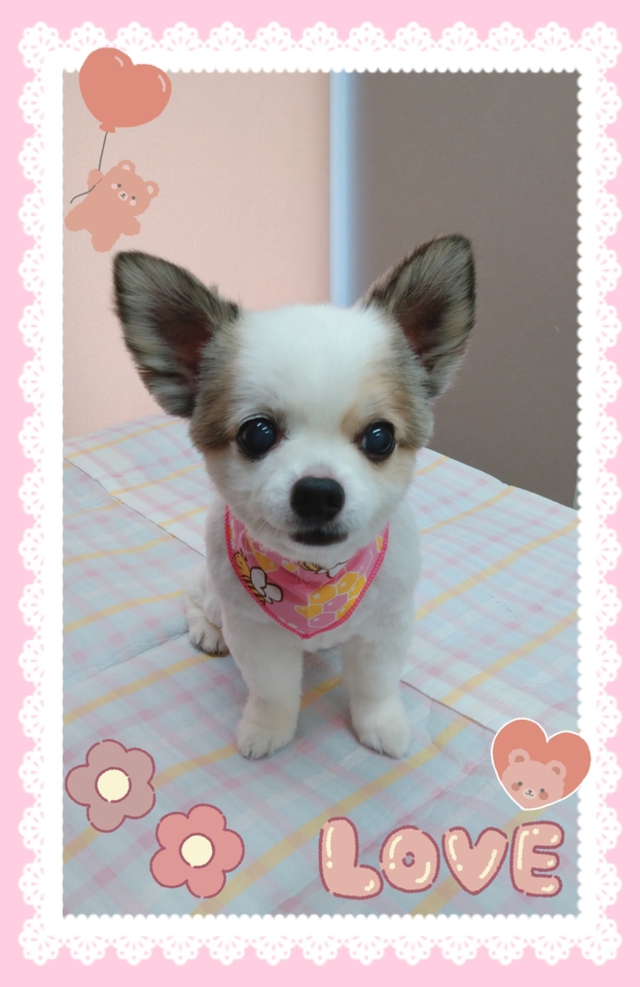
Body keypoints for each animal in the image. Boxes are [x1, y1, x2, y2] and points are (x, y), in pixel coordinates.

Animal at [113, 236, 475, 759]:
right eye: (257, 433)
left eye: (381, 438)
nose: (319, 492)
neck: (315, 576)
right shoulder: (255, 632)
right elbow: (273, 691)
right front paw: (267, 730)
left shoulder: (385, 627)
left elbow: (376, 686)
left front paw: (381, 726)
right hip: (211, 589)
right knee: (192, 598)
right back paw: (207, 632)